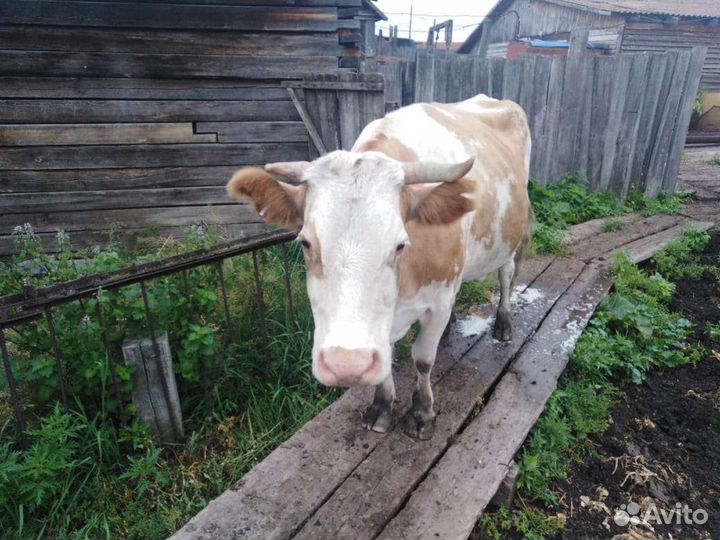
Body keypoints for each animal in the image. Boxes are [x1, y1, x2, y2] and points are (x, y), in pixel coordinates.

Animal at [227, 94, 533, 440]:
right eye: (305, 243)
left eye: (400, 245)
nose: (346, 365)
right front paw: (382, 406)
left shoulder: (439, 299)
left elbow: (423, 359)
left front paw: (422, 412)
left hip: (511, 238)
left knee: (507, 275)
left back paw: (503, 324)